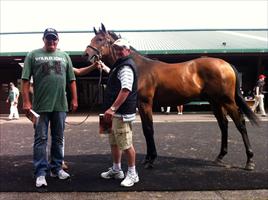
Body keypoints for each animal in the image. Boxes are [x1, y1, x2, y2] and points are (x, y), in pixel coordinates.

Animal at [83, 23, 258, 170]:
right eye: (92, 38)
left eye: (100, 39)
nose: (86, 55)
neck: (139, 68)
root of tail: (226, 64)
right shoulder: (141, 105)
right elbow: (147, 130)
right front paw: (148, 158)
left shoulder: (145, 103)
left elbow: (149, 129)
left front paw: (151, 160)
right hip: (215, 102)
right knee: (223, 125)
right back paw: (220, 157)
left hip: (227, 101)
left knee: (240, 124)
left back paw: (249, 161)